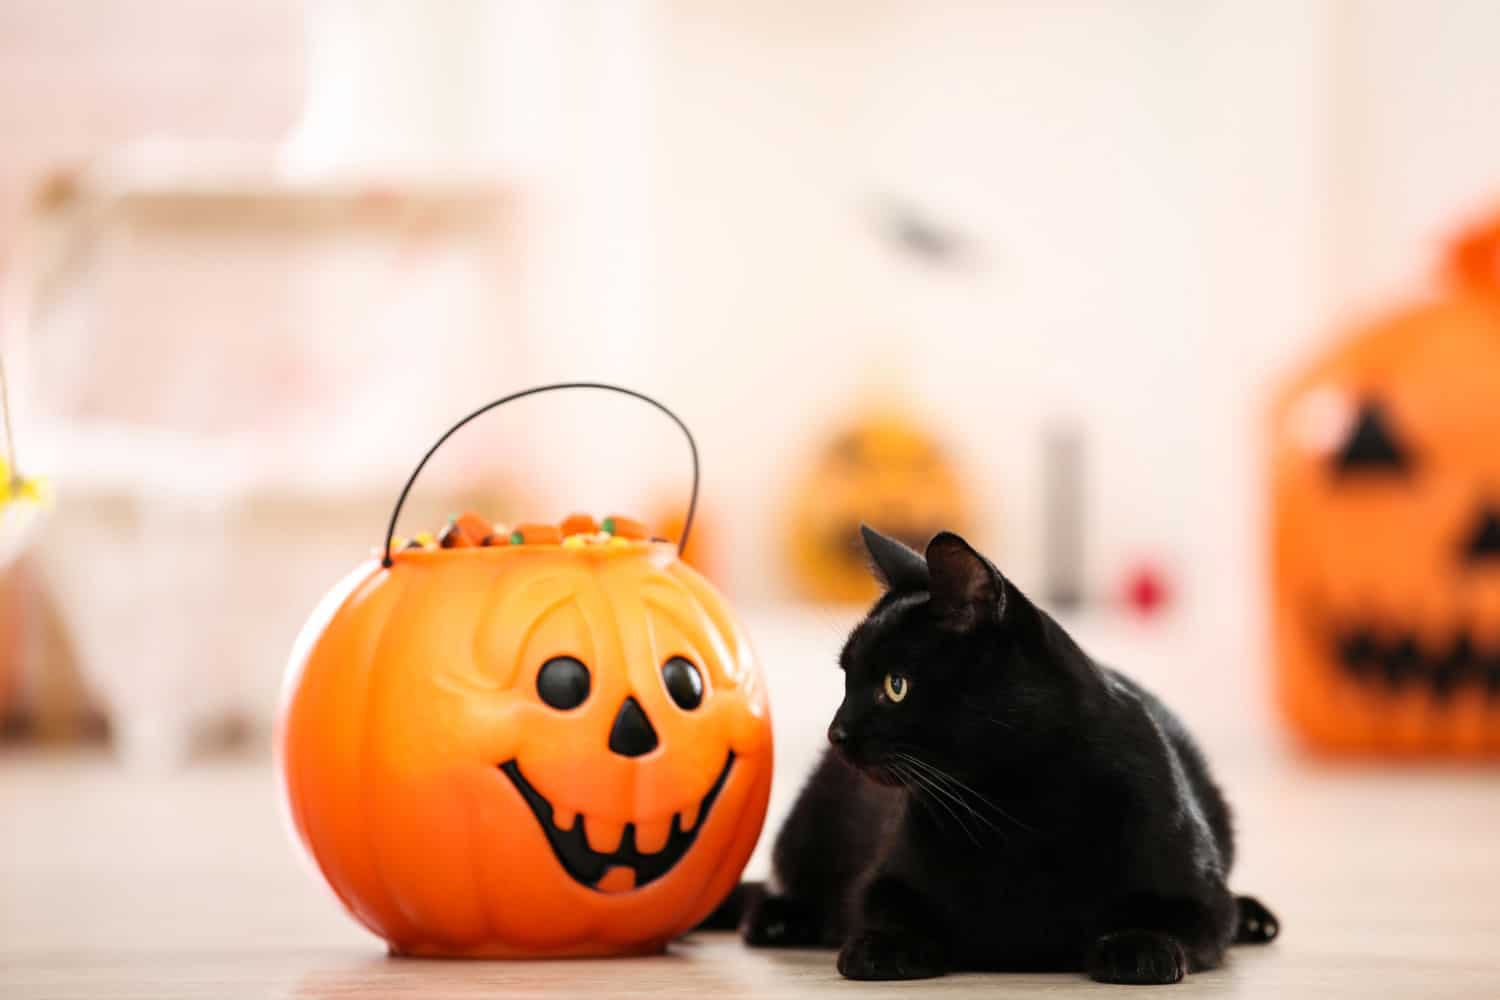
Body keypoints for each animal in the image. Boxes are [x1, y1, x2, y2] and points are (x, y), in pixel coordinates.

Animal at [723, 527, 1278, 983]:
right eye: (845, 679)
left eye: (895, 686)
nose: (836, 732)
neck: (1012, 806)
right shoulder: (884, 879)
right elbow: (886, 909)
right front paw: (884, 946)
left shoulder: (1198, 895)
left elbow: (1181, 919)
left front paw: (1139, 948)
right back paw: (777, 920)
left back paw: (1254, 917)